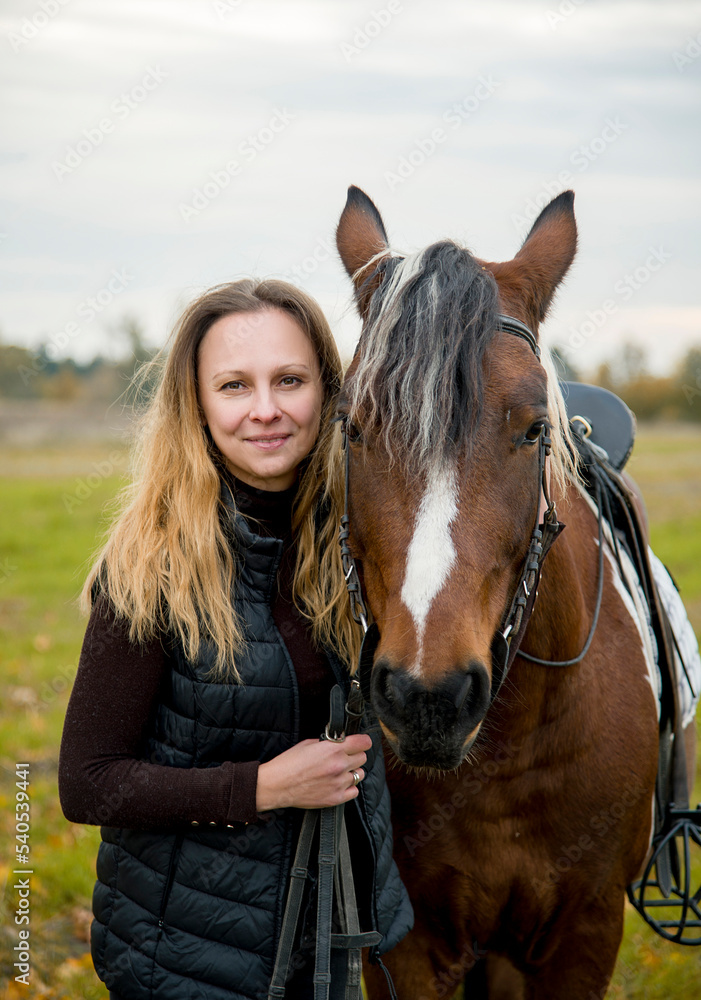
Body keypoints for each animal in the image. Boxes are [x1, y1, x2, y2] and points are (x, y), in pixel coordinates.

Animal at [334, 186, 673, 999]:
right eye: (353, 426)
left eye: (532, 429)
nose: (428, 696)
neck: (506, 756)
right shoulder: (407, 947)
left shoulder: (583, 935)